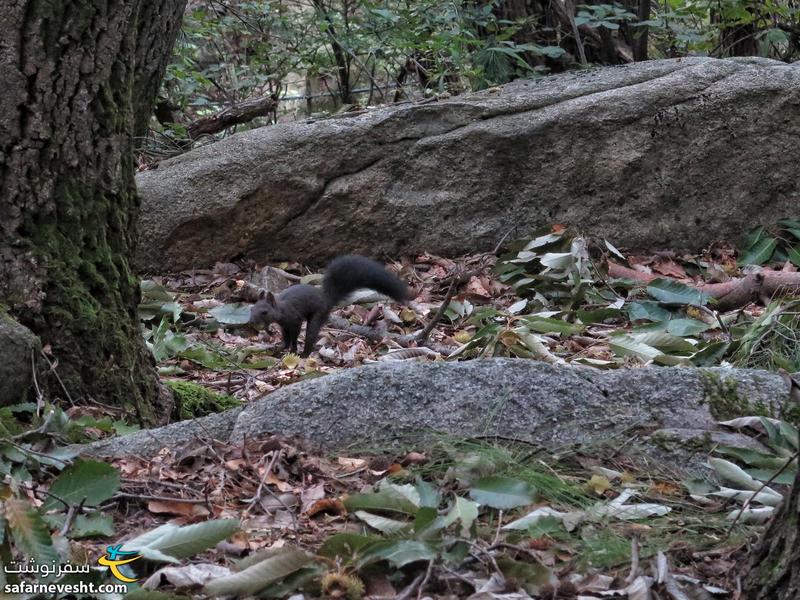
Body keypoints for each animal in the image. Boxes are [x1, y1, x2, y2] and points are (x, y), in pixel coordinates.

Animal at [250, 254, 412, 356]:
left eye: (264, 312)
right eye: (252, 309)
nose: (252, 321)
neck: (281, 309)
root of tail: (326, 299)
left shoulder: (294, 319)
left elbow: (294, 335)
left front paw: (293, 349)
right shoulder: (283, 325)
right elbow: (285, 338)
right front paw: (279, 344)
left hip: (318, 314)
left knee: (311, 333)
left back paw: (305, 354)